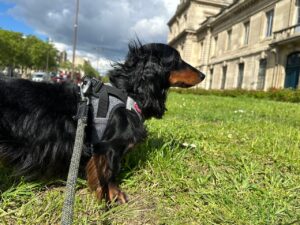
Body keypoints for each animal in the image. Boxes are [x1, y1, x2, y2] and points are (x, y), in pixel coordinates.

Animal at [0, 41, 204, 202]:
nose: (203, 75)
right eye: (177, 59)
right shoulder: (109, 147)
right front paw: (113, 194)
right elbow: (110, 172)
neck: (128, 94)